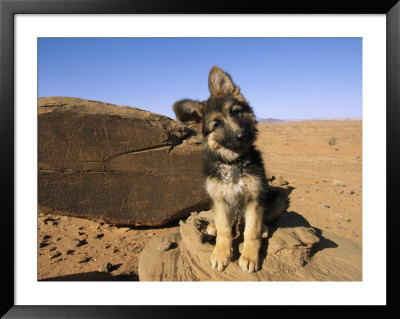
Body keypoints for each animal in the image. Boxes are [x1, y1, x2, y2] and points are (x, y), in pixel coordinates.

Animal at [172, 66, 288, 274]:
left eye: (235, 112)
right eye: (216, 124)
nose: (243, 135)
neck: (233, 163)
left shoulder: (255, 198)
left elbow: (251, 231)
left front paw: (249, 256)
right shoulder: (219, 198)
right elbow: (225, 230)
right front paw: (221, 254)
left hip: (278, 199)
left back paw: (264, 228)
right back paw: (213, 226)